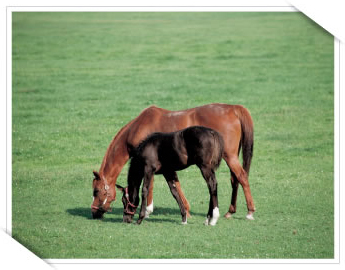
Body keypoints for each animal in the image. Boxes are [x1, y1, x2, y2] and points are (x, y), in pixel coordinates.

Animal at [90, 103, 254, 219]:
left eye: (96, 191)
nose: (93, 212)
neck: (138, 127)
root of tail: (233, 108)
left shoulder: (149, 164)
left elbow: (150, 186)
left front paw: (147, 211)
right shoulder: (166, 166)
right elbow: (176, 185)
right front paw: (186, 210)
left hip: (229, 157)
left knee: (242, 177)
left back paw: (250, 211)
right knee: (234, 180)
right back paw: (230, 211)